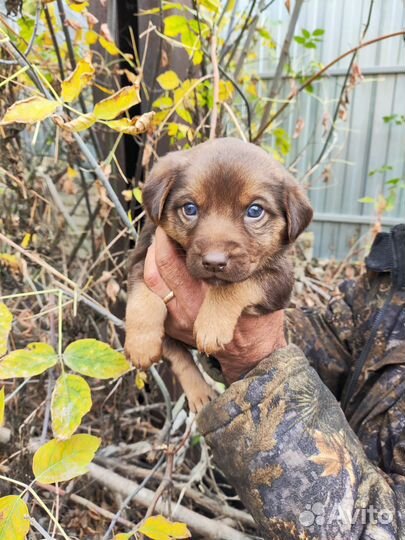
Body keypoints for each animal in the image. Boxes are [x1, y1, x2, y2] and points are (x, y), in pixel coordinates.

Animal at [125, 137, 312, 412]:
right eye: (190, 208)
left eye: (254, 211)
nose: (214, 262)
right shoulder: (142, 257)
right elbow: (142, 296)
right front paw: (141, 344)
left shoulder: (279, 278)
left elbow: (235, 285)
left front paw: (211, 325)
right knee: (177, 354)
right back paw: (200, 394)